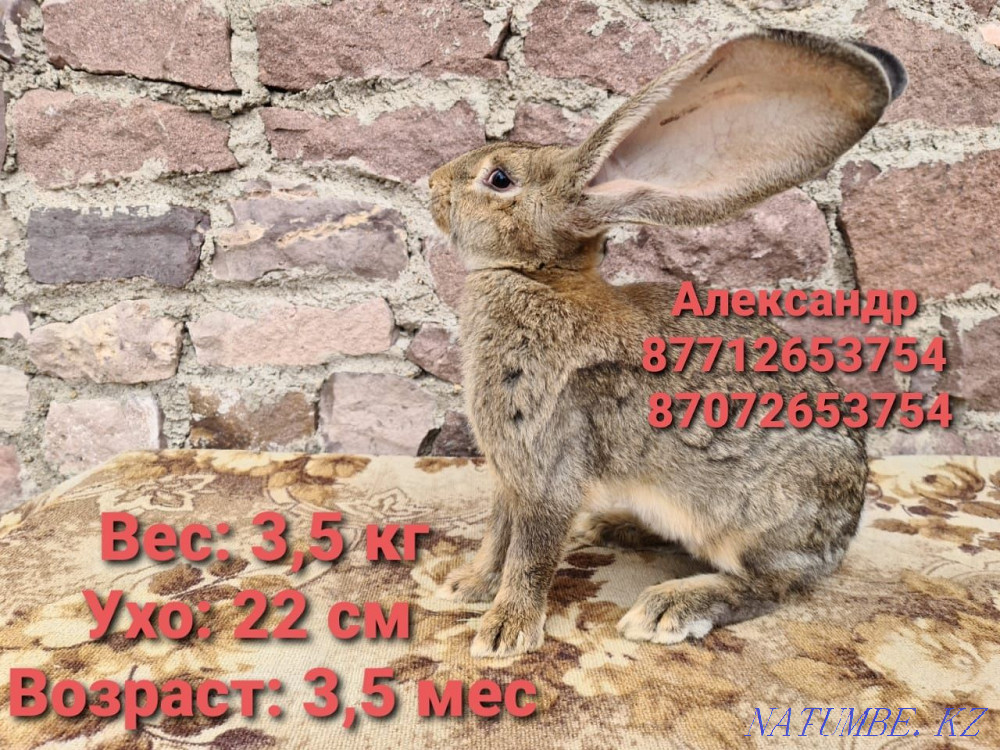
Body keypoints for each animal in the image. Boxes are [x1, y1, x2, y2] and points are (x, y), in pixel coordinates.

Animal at [428, 28, 906, 658]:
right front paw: (465, 586)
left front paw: (504, 630)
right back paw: (614, 527)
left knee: (770, 588)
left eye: (499, 178)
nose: (430, 185)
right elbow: (496, 538)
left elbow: (530, 554)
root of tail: (844, 530)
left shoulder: (546, 470)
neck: (538, 279)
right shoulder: (509, 477)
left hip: (756, 521)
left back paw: (670, 607)